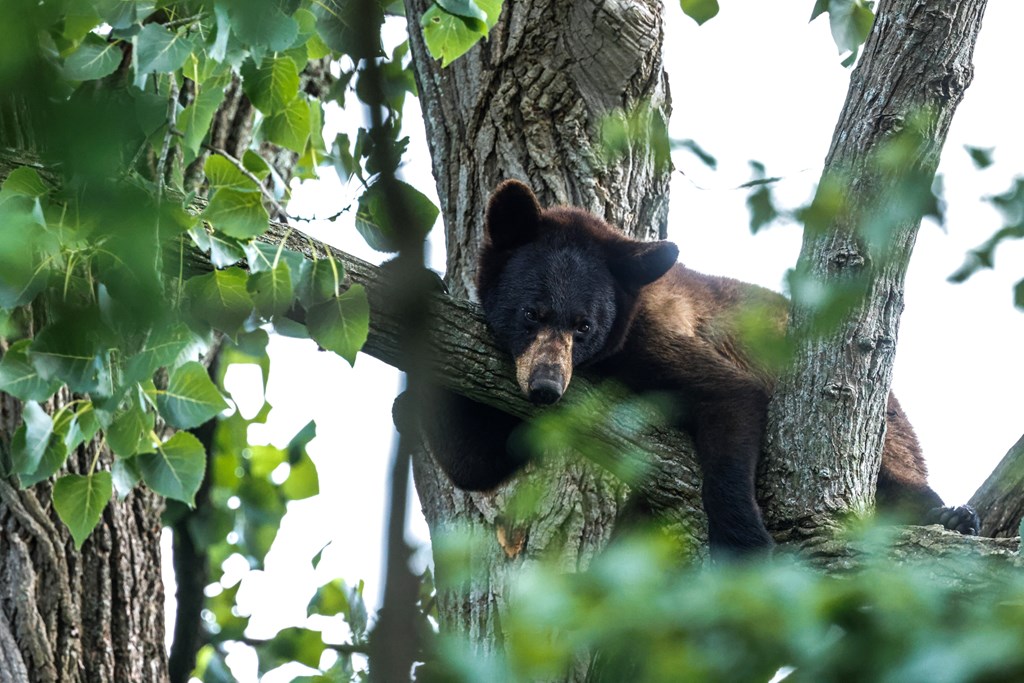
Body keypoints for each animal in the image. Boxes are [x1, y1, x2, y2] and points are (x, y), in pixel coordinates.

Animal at [411, 179, 978, 552]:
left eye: (584, 325)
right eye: (532, 313)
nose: (547, 387)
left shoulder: (650, 342)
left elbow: (730, 396)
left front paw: (743, 541)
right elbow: (477, 462)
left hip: (892, 434)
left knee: (899, 479)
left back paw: (949, 513)